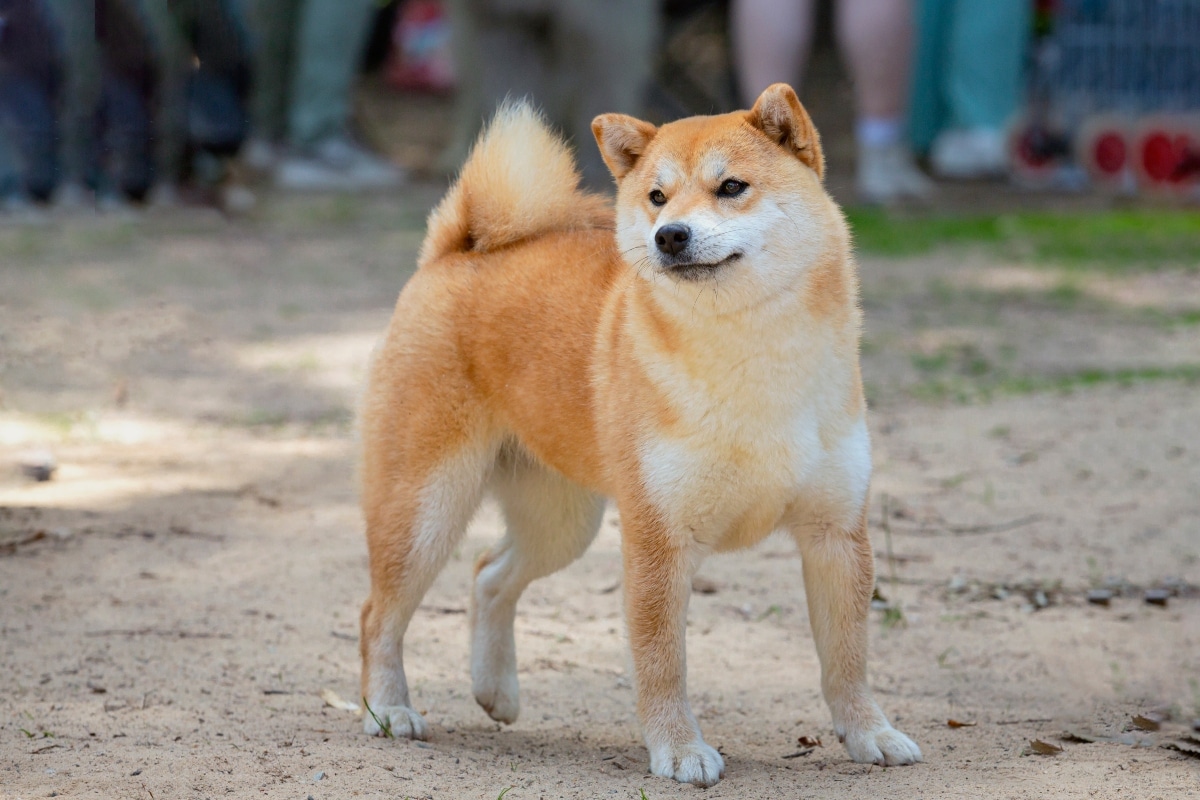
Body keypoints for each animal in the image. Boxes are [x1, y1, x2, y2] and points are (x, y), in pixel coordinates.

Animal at [357, 83, 922, 787]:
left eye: (731, 187)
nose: (670, 234)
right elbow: (662, 662)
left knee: (490, 573)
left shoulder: (835, 533)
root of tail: (455, 252)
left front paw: (871, 734)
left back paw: (496, 691)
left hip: (561, 522)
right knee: (378, 614)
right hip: (425, 511)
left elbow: (848, 660)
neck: (750, 356)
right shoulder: (659, 537)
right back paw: (388, 710)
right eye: (656, 196)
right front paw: (678, 750)